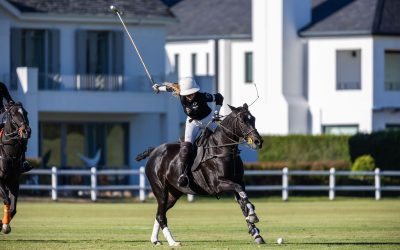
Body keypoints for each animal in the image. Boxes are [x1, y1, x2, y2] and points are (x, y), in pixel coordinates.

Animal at [137, 103, 266, 246]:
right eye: (242, 121)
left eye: (253, 119)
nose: (258, 141)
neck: (222, 149)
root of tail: (154, 151)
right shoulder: (217, 184)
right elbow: (242, 195)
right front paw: (253, 216)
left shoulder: (238, 181)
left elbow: (243, 202)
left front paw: (256, 233)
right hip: (160, 190)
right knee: (161, 215)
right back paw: (173, 242)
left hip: (173, 193)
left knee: (160, 212)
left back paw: (155, 240)